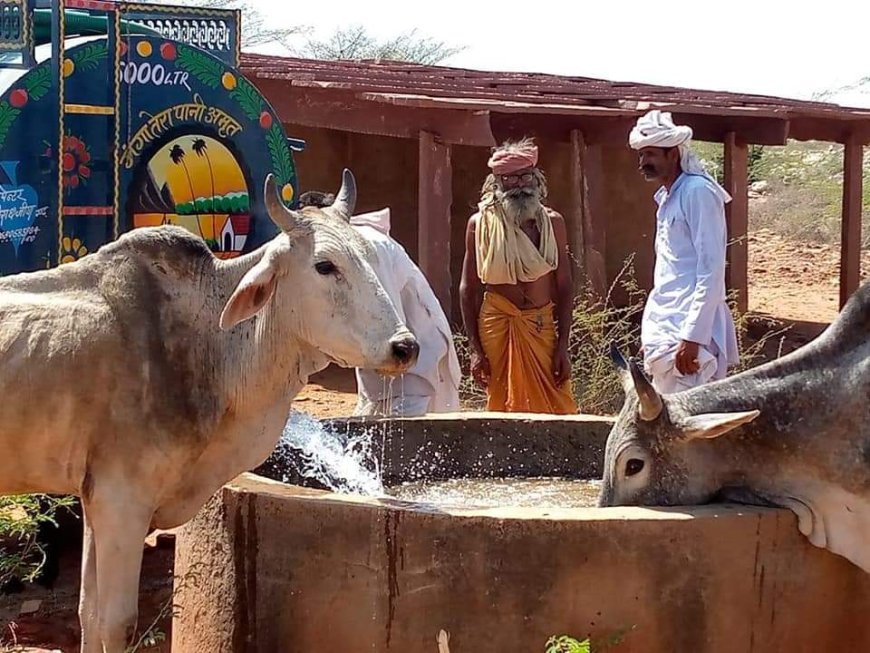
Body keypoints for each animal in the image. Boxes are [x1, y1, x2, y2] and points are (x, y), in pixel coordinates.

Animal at [0, 171, 418, 648]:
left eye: (370, 256)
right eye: (325, 266)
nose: (404, 347)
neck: (209, 343)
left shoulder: (95, 496)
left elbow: (88, 612)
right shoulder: (122, 497)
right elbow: (115, 622)